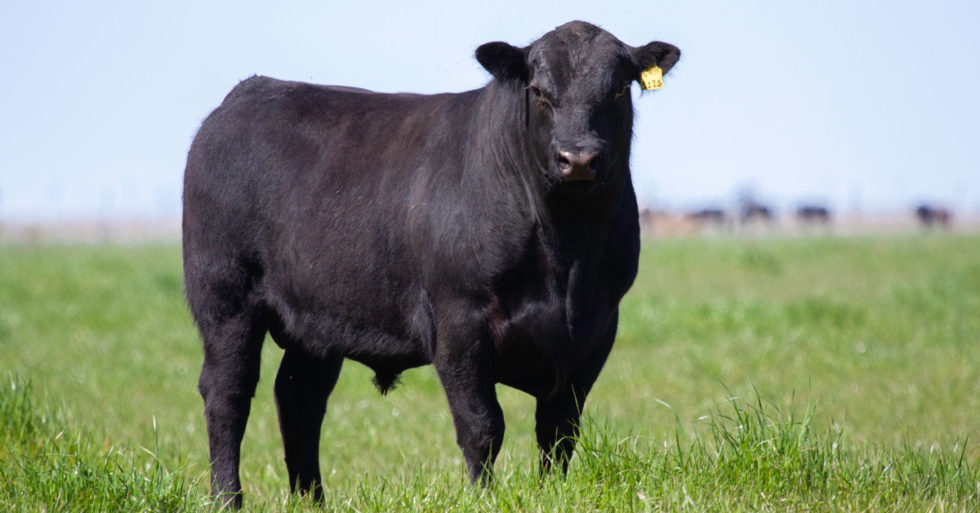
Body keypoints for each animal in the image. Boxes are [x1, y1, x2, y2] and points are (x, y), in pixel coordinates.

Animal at [182, 21, 679, 508]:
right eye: (538, 90)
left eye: (619, 89)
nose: (578, 159)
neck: (565, 257)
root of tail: (249, 92)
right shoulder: (458, 322)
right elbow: (482, 426)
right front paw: (483, 499)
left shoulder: (596, 329)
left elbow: (558, 431)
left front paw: (551, 496)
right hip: (226, 298)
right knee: (227, 394)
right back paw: (227, 498)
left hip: (317, 321)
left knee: (299, 398)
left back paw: (312, 499)